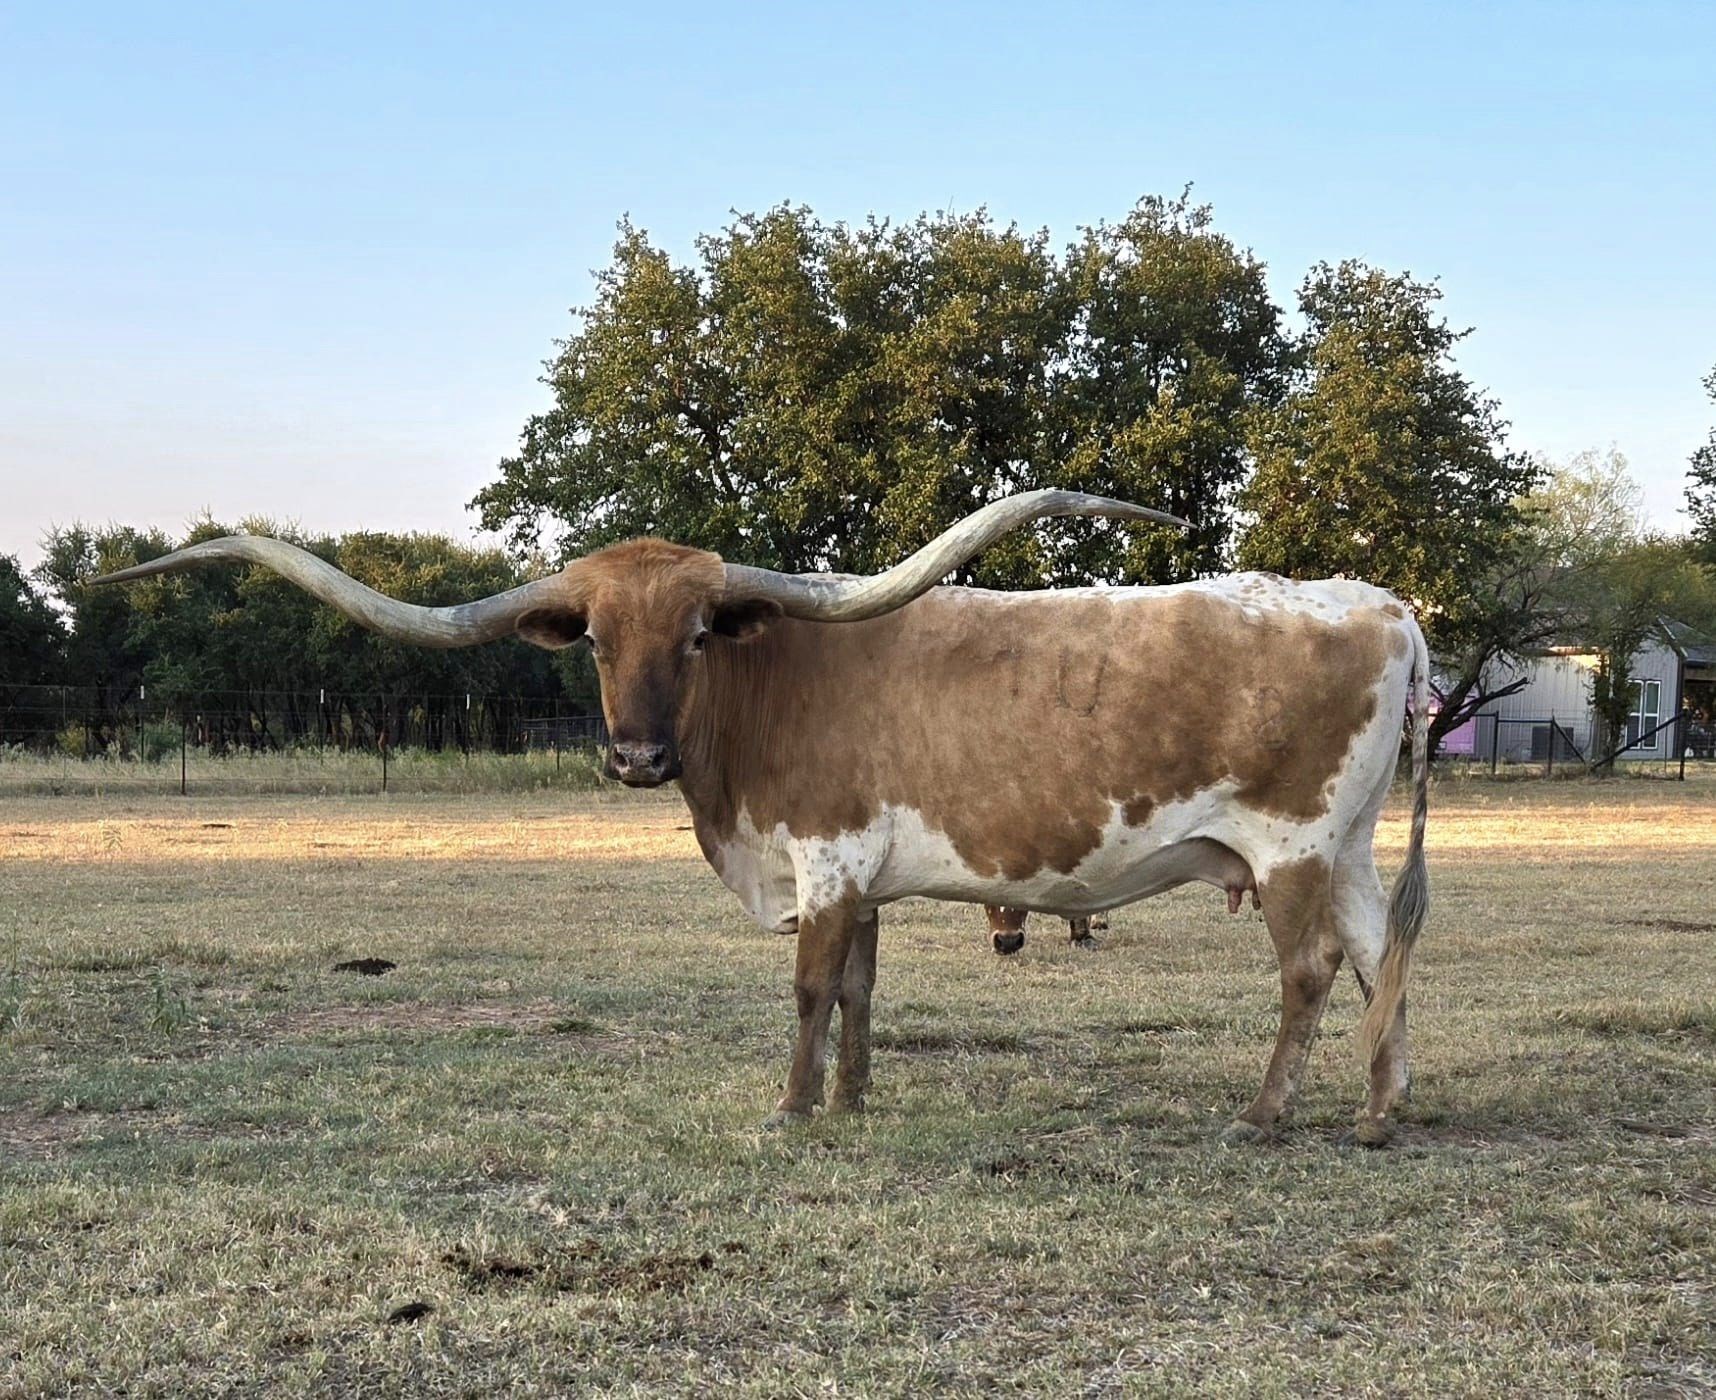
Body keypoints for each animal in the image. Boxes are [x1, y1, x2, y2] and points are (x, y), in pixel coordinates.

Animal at [96, 489, 1429, 1147]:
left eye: (696, 633)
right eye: (592, 637)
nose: (636, 754)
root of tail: (1385, 605)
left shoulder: (828, 856)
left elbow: (807, 986)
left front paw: (791, 1111)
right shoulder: (866, 876)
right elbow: (861, 989)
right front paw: (850, 1103)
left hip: (1293, 842)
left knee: (1313, 968)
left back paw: (1265, 1114)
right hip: (1352, 847)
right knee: (1385, 954)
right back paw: (1381, 1109)